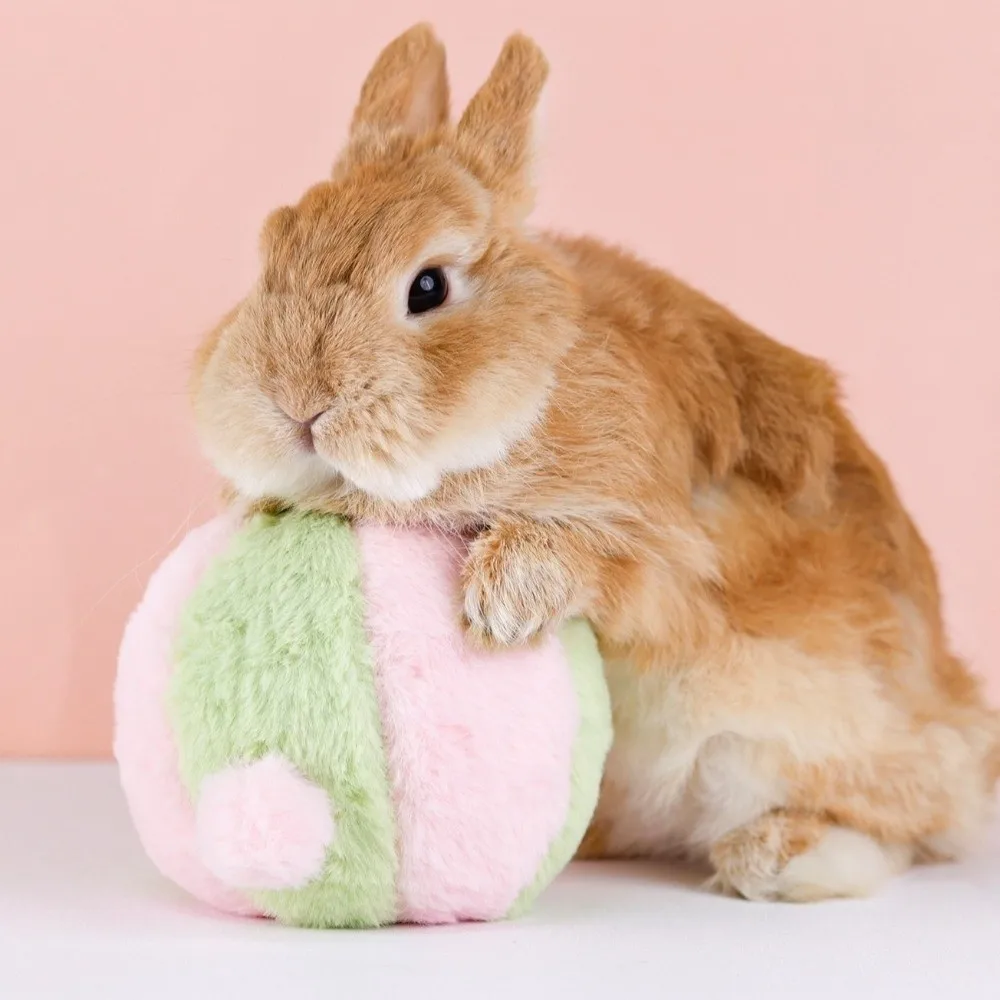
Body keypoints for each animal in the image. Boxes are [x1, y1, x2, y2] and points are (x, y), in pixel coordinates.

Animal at [190, 24, 1000, 902]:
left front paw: (503, 600)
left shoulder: (674, 554)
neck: (538, 379)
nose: (296, 404)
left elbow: (608, 561)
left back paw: (773, 854)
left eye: (427, 286)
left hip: (810, 734)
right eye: (273, 252)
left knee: (909, 824)